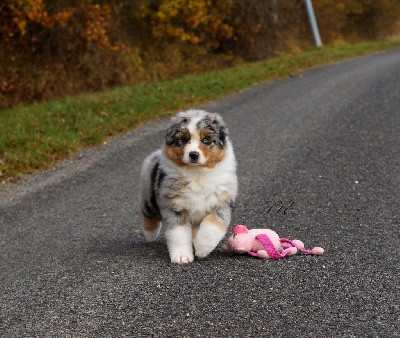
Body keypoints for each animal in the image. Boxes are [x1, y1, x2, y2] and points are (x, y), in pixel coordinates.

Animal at [139, 109, 238, 262]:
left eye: (206, 140)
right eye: (183, 140)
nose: (193, 154)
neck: (196, 174)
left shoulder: (221, 202)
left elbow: (211, 229)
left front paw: (201, 249)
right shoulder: (175, 206)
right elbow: (179, 235)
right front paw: (182, 257)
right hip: (148, 195)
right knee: (148, 213)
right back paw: (150, 234)